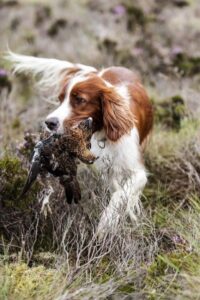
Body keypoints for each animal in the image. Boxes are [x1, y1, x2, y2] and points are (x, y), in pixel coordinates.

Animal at [5, 51, 153, 234]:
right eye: (60, 99)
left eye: (80, 100)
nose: (49, 122)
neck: (105, 134)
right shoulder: (106, 169)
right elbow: (117, 190)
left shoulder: (138, 173)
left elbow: (120, 195)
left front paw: (107, 223)